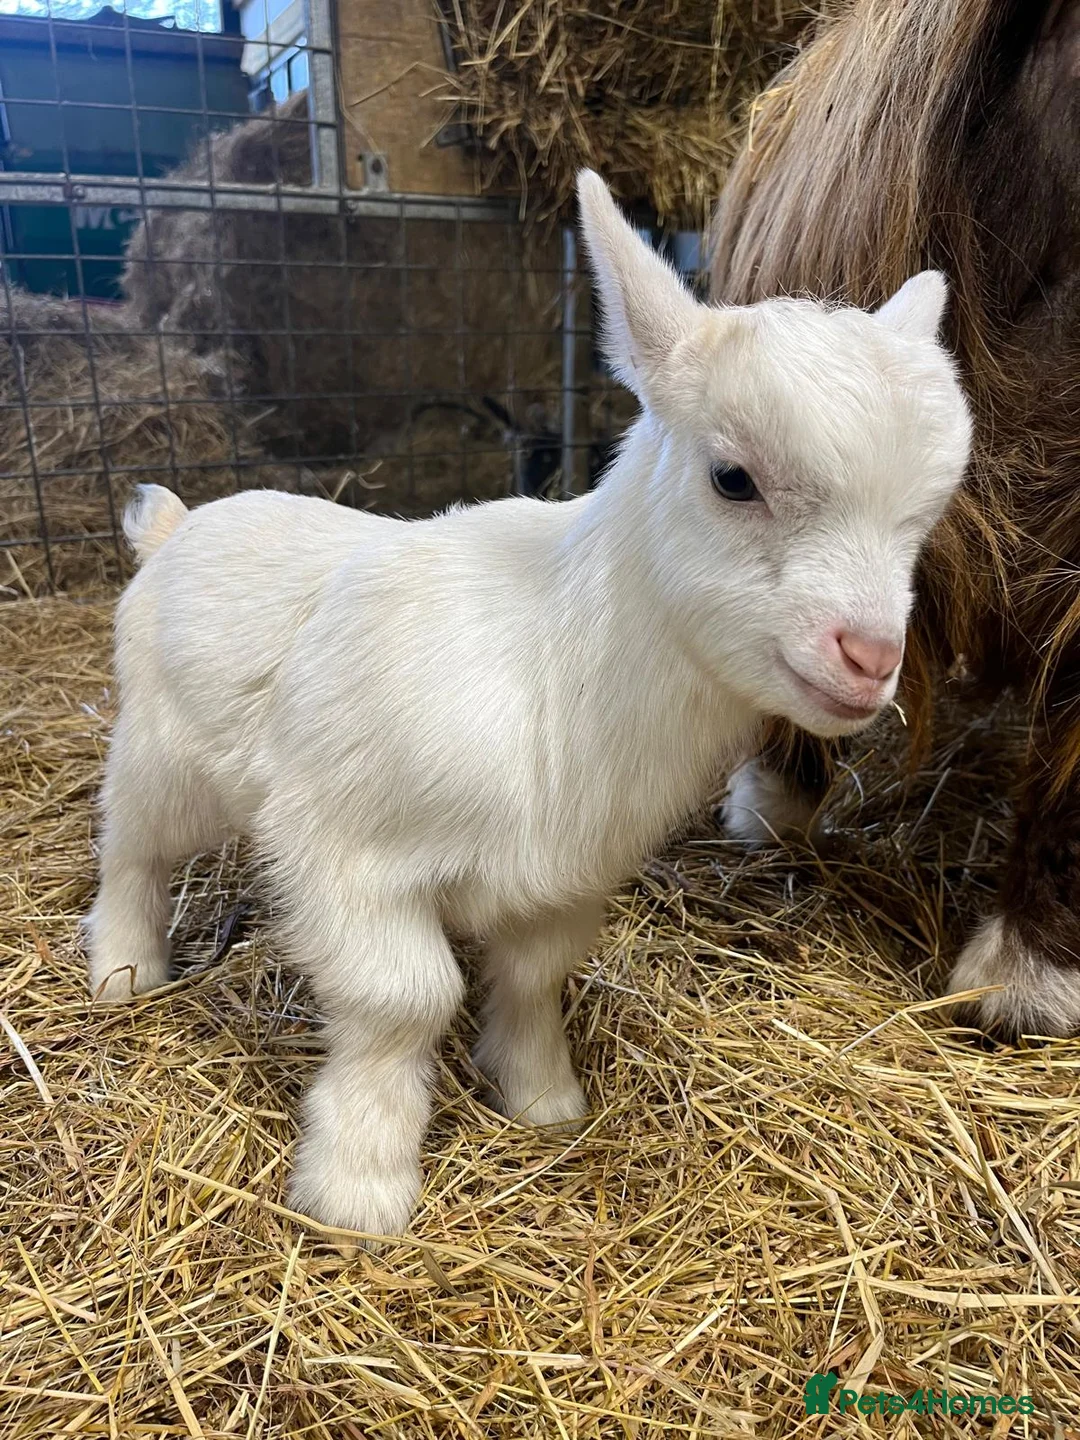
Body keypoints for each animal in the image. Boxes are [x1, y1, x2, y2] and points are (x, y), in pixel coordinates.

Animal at [87, 172, 971, 1239]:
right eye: (733, 478)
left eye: (924, 519)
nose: (869, 657)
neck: (551, 664)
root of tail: (176, 526)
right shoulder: (345, 851)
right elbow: (405, 999)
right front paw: (360, 1182)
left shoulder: (565, 879)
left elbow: (533, 976)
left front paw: (544, 1098)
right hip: (159, 753)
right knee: (131, 850)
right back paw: (123, 970)